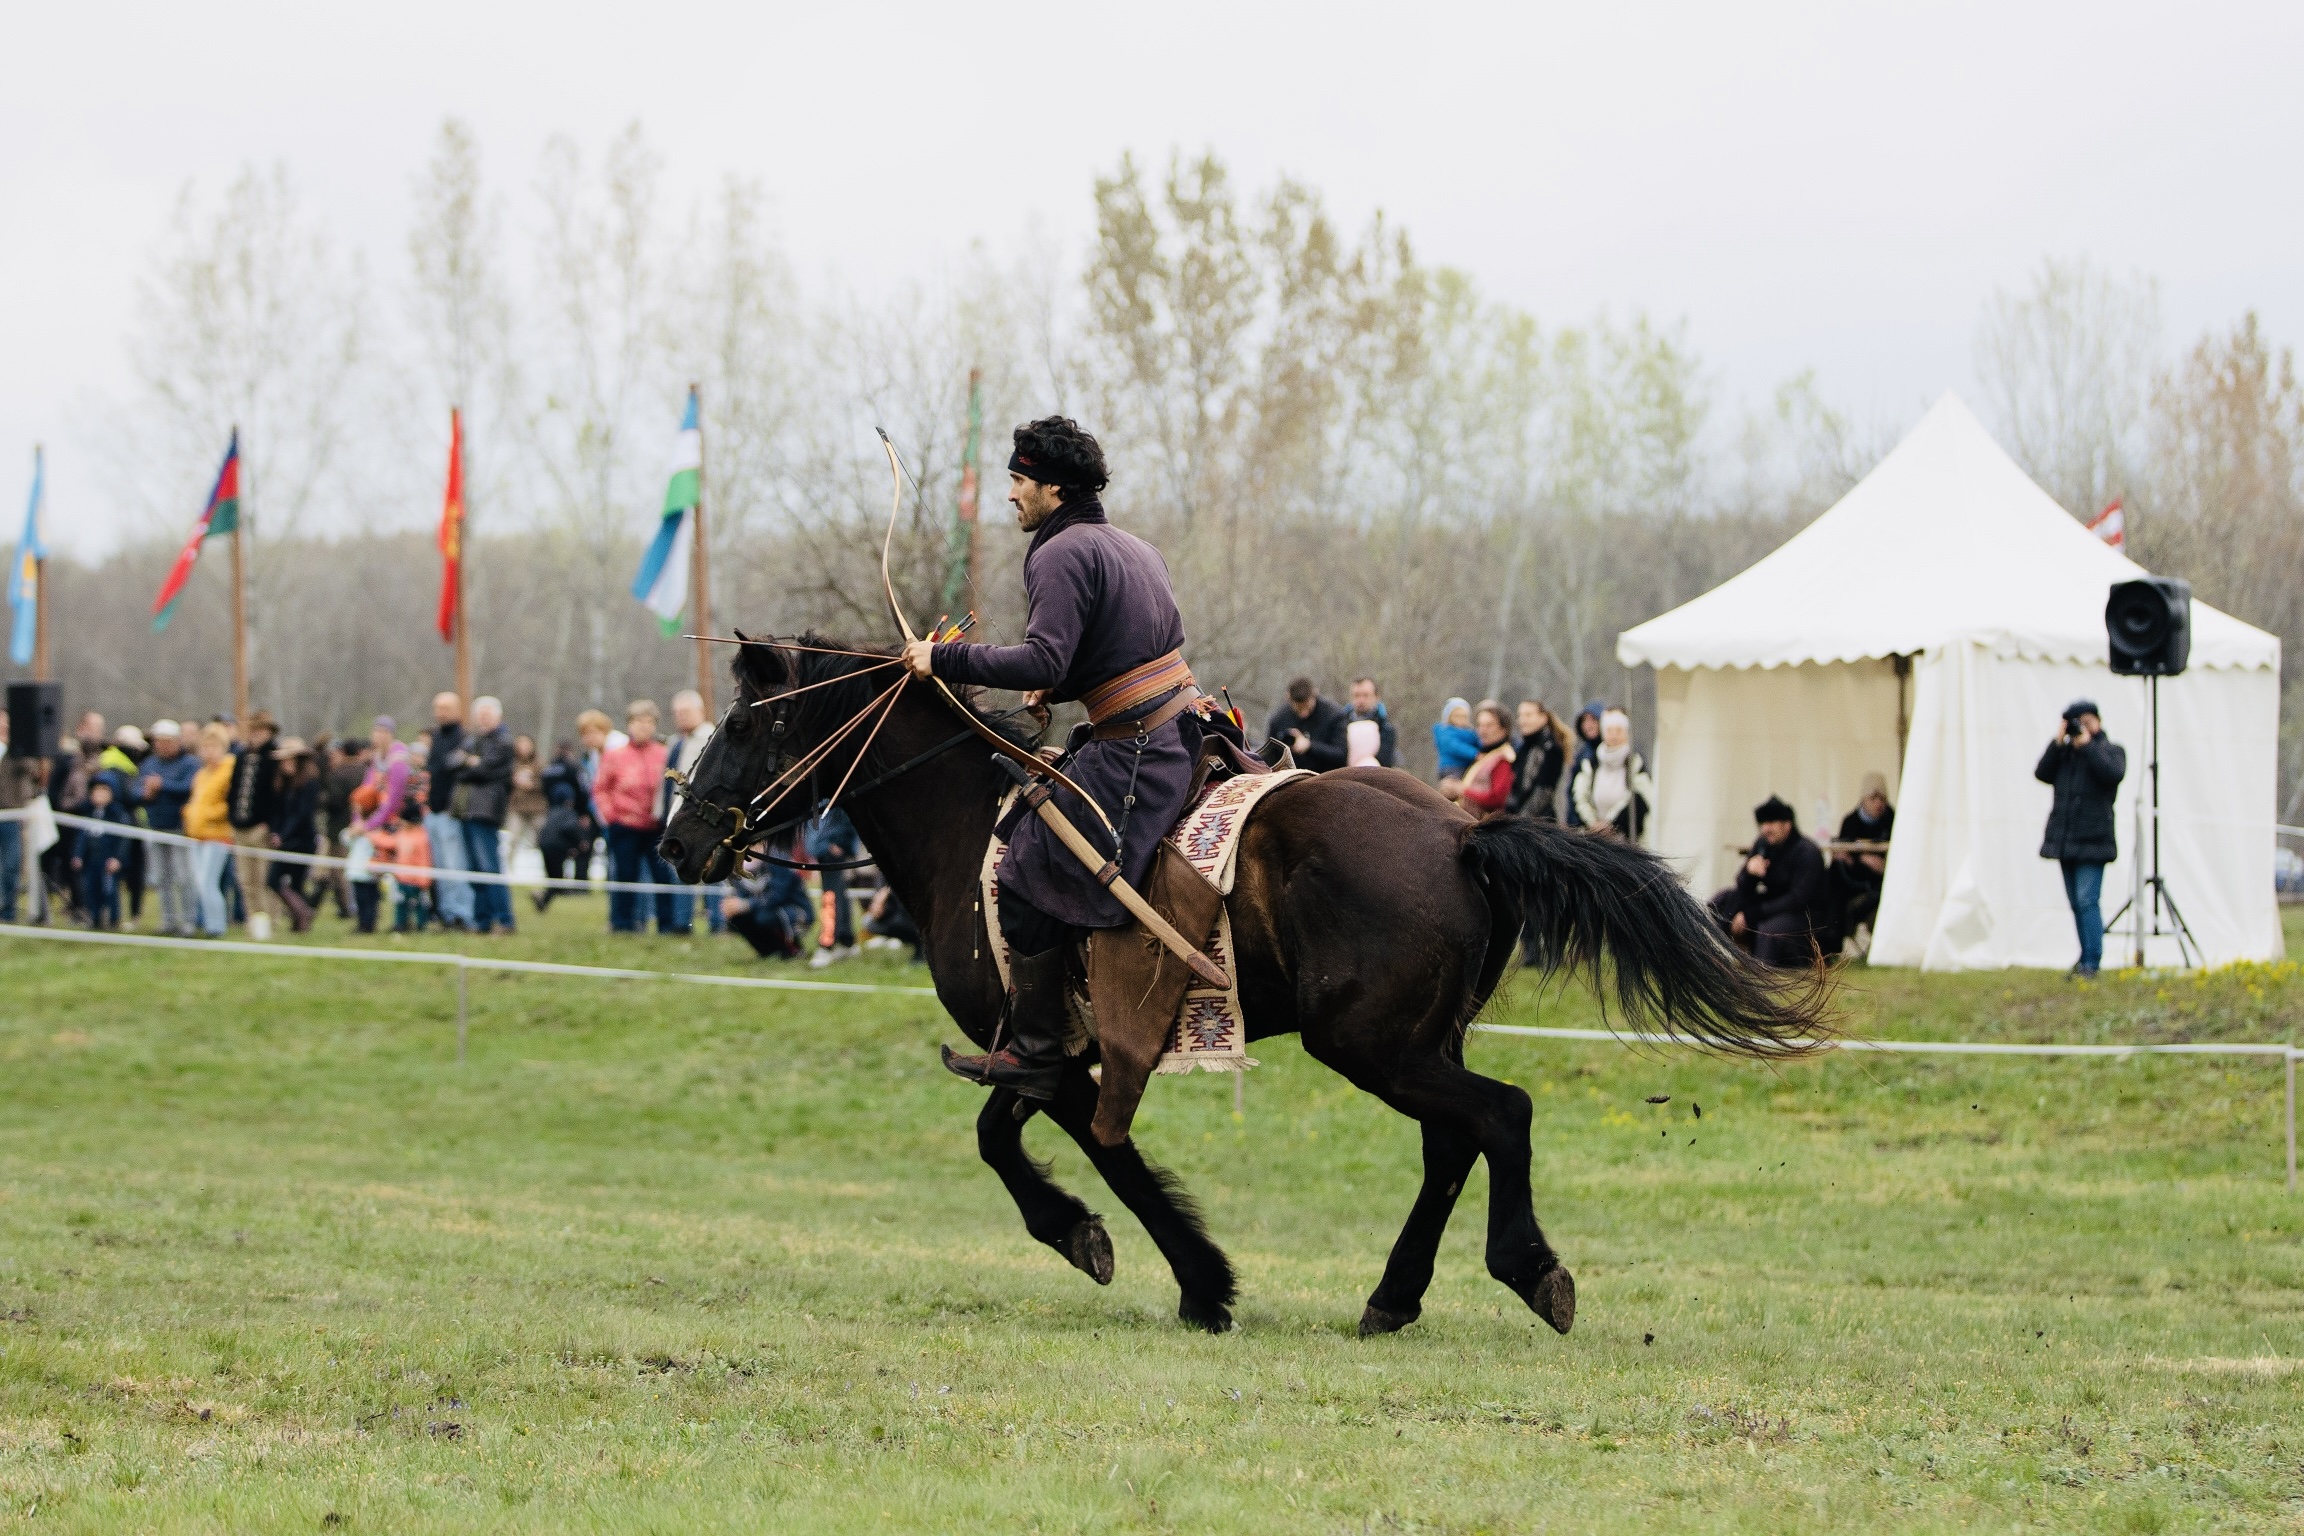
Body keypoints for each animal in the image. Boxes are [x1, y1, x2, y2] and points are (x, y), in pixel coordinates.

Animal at [658, 635, 1824, 1335]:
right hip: (1418, 1043)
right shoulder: (1053, 1053)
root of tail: (1463, 832)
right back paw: (1393, 1298)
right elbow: (1010, 1137)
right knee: (1456, 1142)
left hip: (1371, 1045)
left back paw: (1528, 1270)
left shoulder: (1051, 1056)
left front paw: (1177, 1273)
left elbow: (1078, 1152)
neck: (965, 826)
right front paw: (1120, 1248)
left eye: (750, 722)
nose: (678, 840)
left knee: (1503, 1115)